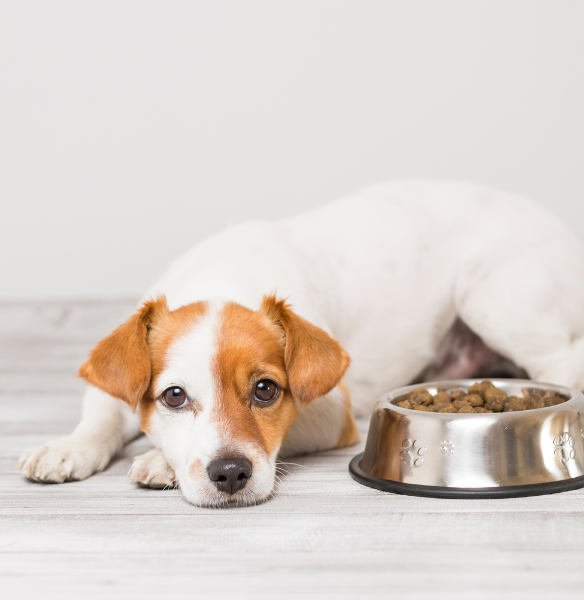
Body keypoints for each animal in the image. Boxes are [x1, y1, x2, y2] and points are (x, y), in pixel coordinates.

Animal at [17, 182, 584, 506]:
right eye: (174, 396)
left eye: (266, 390)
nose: (230, 474)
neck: (222, 278)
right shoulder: (114, 383)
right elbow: (102, 413)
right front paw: (68, 447)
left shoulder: (334, 413)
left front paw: (159, 460)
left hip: (491, 298)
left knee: (562, 363)